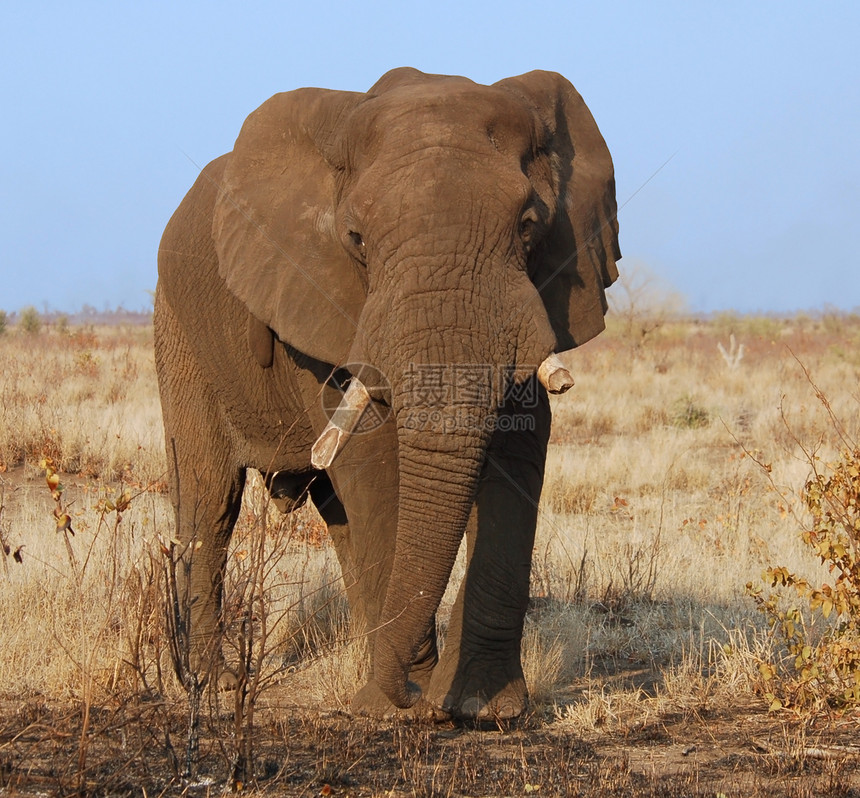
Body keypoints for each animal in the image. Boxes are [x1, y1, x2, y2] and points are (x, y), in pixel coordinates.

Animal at [155, 65, 620, 720]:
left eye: (529, 227)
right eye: (355, 238)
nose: (408, 699)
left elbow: (519, 448)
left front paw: (482, 709)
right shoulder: (316, 296)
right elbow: (374, 462)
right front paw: (404, 702)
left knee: (335, 514)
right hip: (180, 330)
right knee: (209, 501)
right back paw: (211, 685)